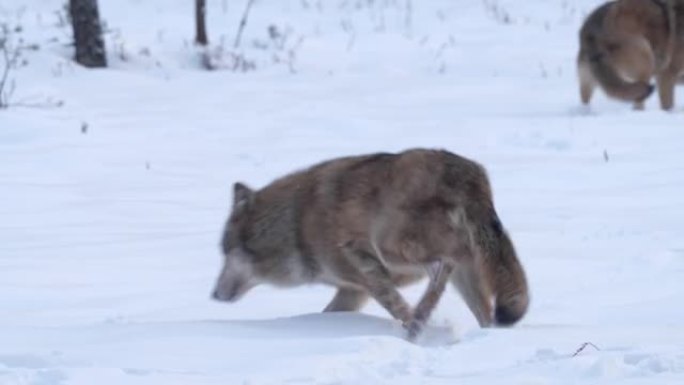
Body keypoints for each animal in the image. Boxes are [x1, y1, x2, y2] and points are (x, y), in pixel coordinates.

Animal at [210, 148, 528, 338]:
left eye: (228, 253)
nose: (213, 294)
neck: (296, 224)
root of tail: (469, 174)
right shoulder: (353, 290)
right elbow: (332, 313)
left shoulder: (367, 274)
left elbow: (395, 304)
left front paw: (415, 332)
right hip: (464, 270)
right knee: (480, 306)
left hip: (393, 245)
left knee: (444, 262)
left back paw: (422, 316)